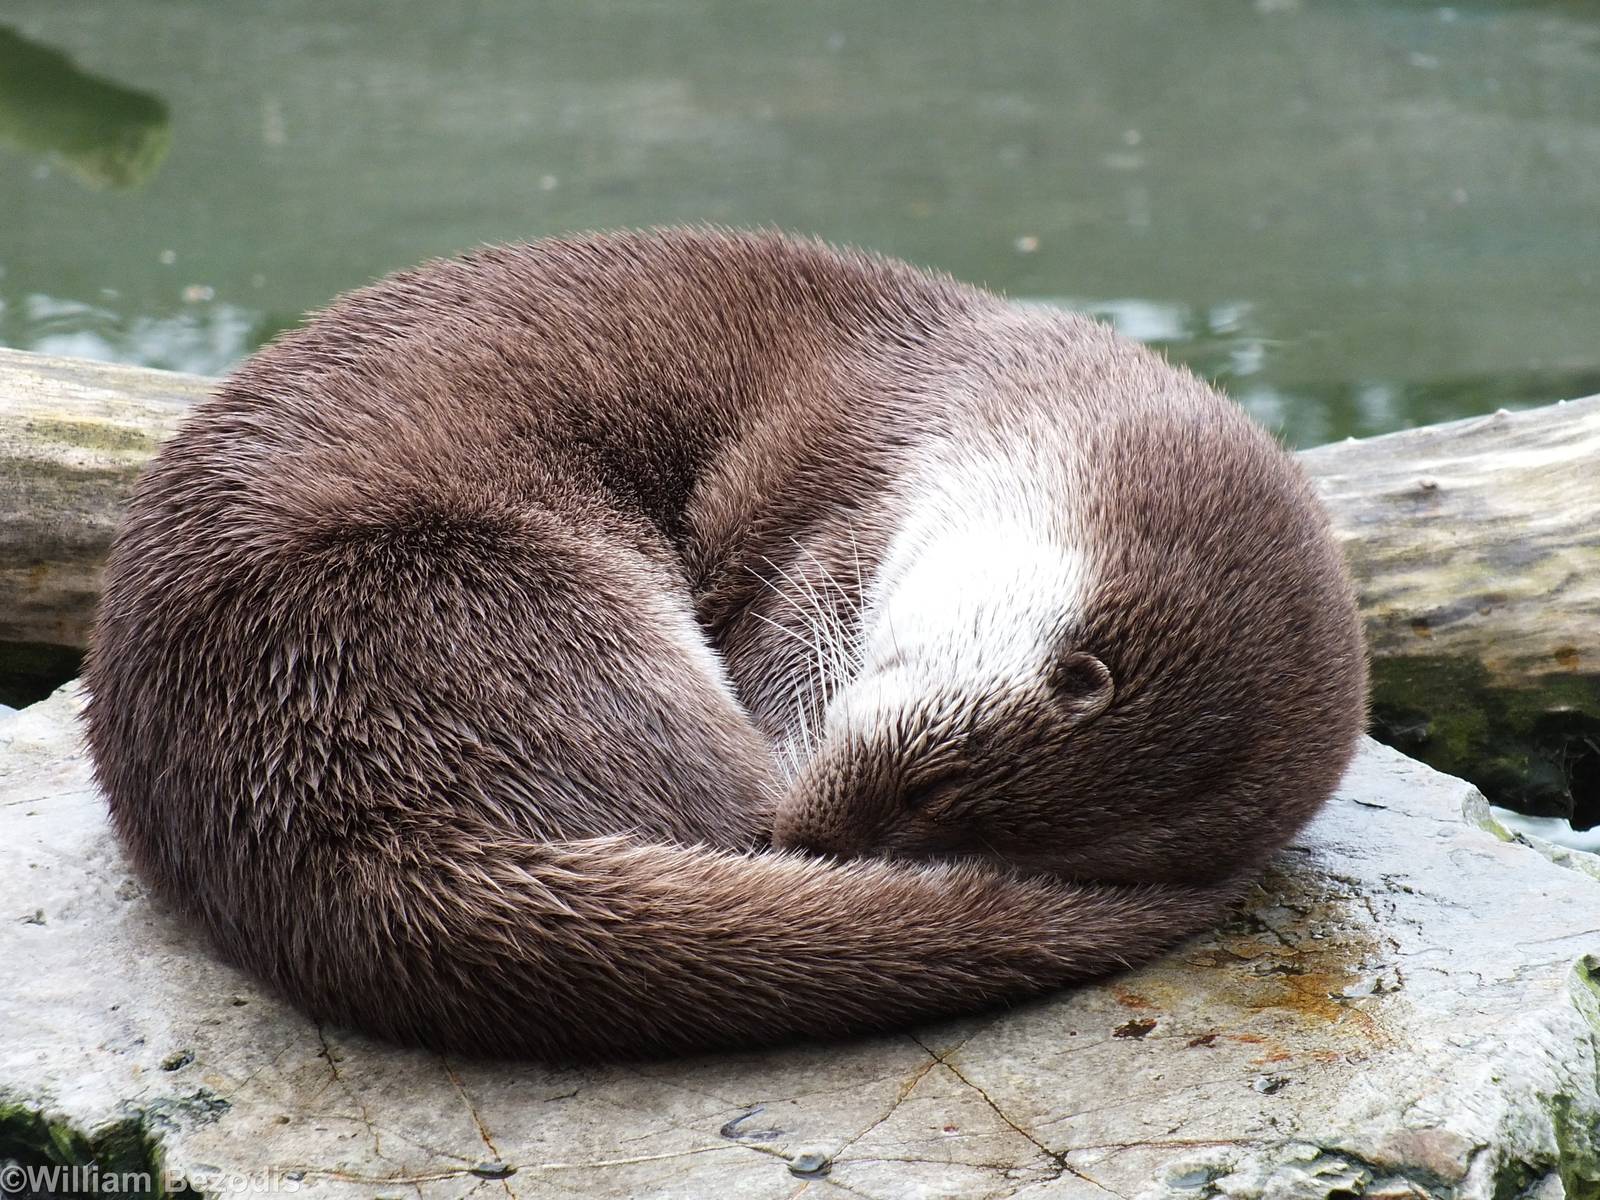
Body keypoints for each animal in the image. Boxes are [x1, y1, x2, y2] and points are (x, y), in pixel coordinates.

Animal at [84, 228, 1366, 1061]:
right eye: (935, 792)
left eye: (985, 843)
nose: (812, 838)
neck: (979, 393)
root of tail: (302, 815)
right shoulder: (844, 487)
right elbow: (791, 625)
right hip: (491, 582)